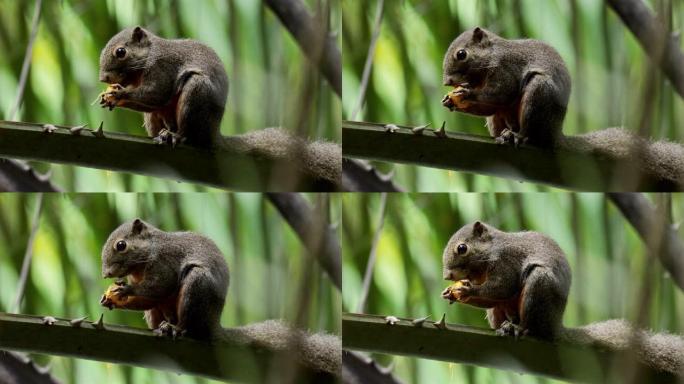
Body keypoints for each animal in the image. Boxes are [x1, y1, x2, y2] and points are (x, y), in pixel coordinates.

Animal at [97, 25, 342, 189]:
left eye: (121, 52)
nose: (103, 78)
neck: (147, 58)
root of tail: (213, 135)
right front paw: (110, 96)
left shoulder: (162, 68)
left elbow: (156, 94)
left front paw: (118, 94)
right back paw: (163, 134)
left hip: (196, 94)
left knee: (189, 133)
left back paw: (177, 136)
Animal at [98, 219, 340, 378]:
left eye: (121, 245)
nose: (106, 274)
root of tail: (213, 326)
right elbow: (147, 301)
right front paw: (110, 298)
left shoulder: (164, 264)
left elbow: (158, 289)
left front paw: (125, 291)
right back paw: (161, 327)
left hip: (196, 288)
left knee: (189, 327)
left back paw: (176, 329)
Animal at [440, 26, 680, 188]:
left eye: (461, 54)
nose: (447, 82)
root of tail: (555, 134)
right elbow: (488, 107)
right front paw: (452, 100)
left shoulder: (505, 70)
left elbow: (501, 94)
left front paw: (466, 94)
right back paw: (502, 135)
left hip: (538, 95)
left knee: (531, 134)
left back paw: (518, 136)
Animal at [440, 222, 684, 376]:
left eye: (462, 248)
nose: (447, 276)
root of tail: (555, 327)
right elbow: (492, 298)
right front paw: (452, 293)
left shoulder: (506, 263)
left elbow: (501, 288)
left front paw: (466, 292)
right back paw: (505, 327)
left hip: (539, 288)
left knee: (532, 327)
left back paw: (521, 329)